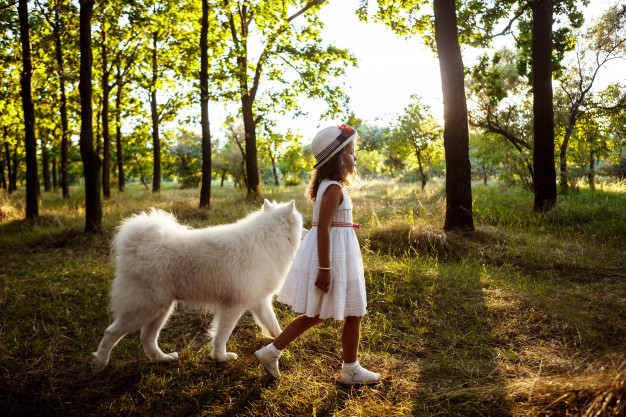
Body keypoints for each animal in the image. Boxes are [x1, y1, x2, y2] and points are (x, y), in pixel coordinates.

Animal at [91, 199, 304, 374]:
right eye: (301, 223)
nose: (307, 230)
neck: (268, 237)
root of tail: (138, 244)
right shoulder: (234, 306)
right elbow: (222, 335)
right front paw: (221, 357)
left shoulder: (259, 301)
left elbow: (274, 325)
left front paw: (284, 344)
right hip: (145, 308)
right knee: (111, 332)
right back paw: (99, 364)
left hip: (161, 309)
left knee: (147, 338)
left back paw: (163, 359)